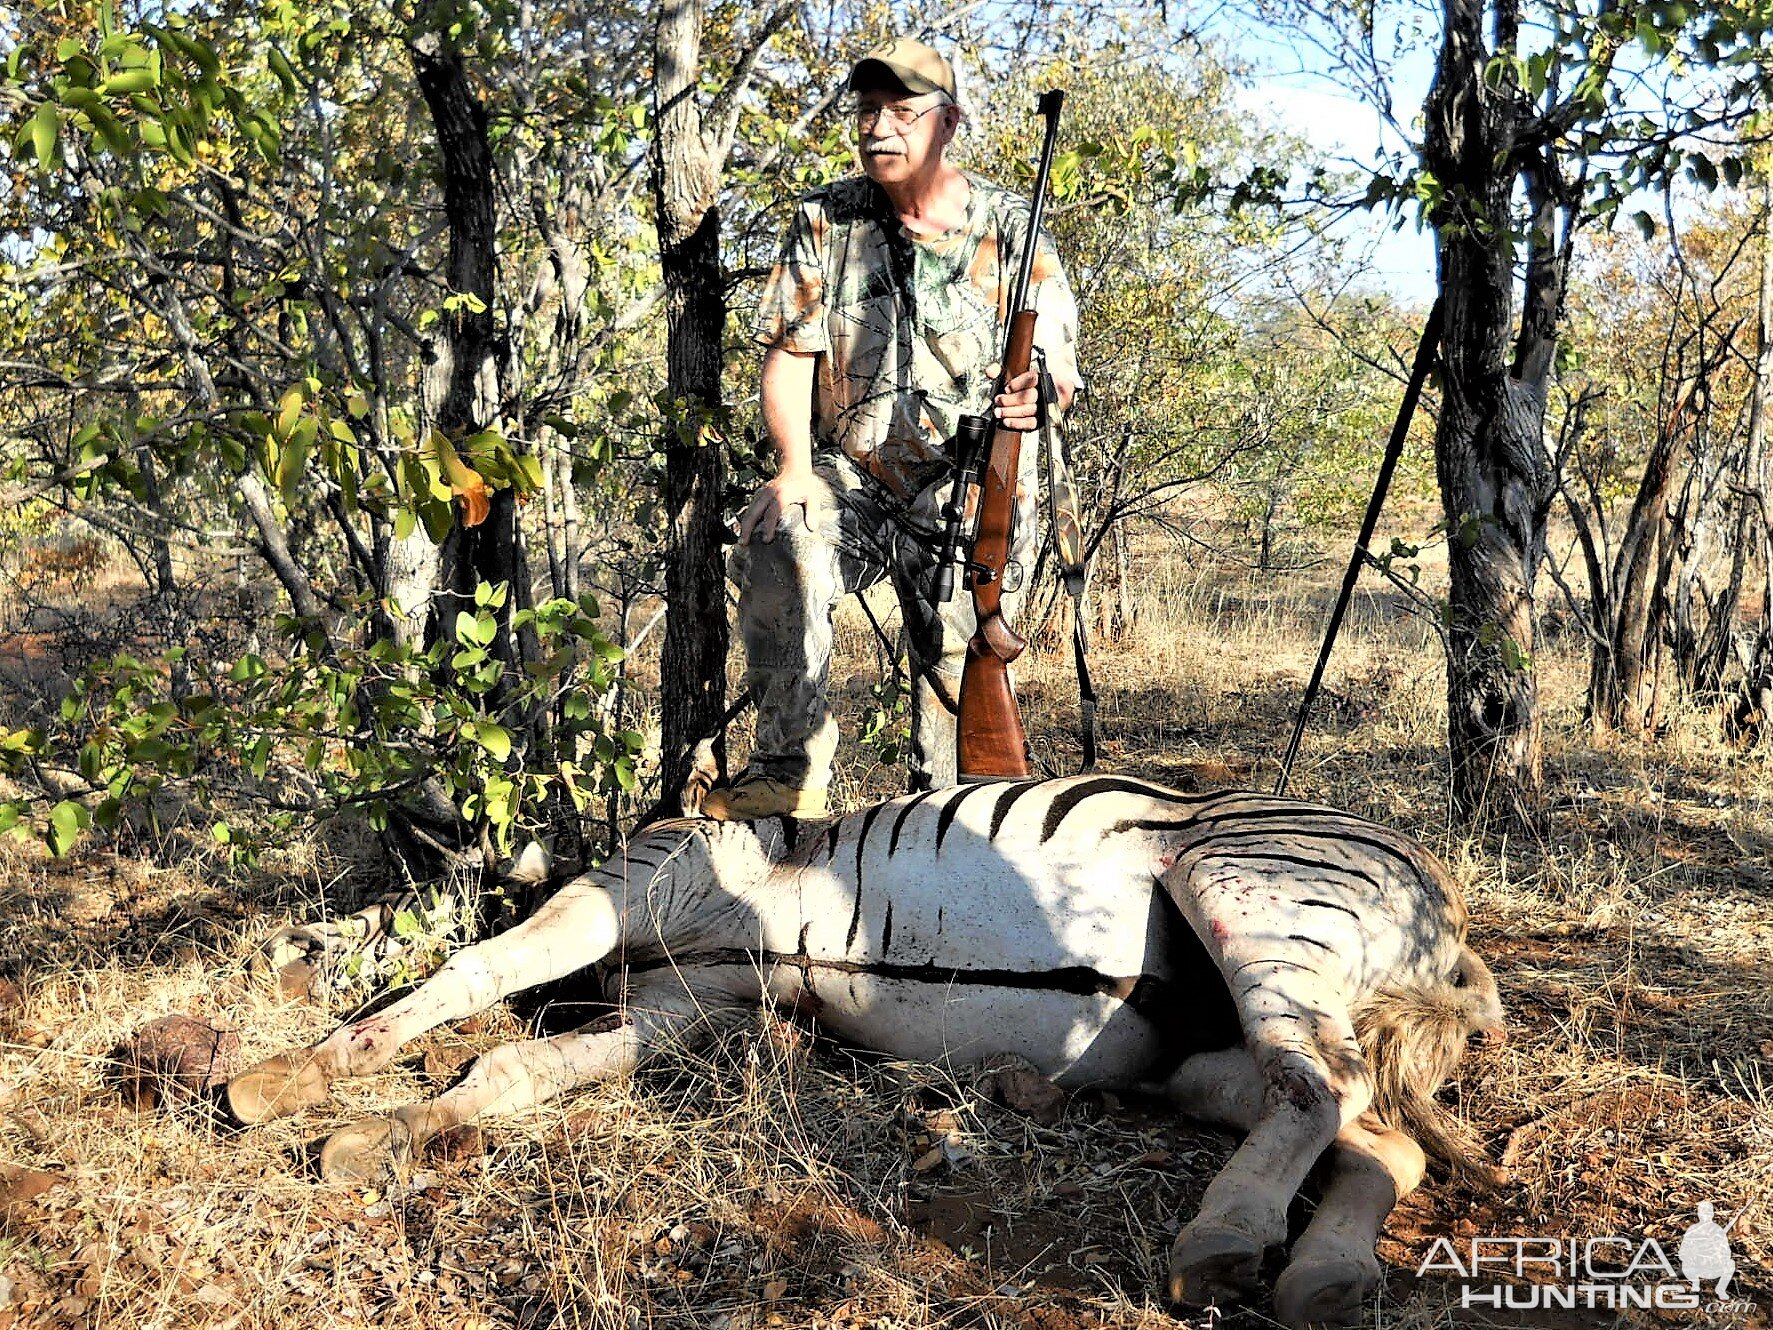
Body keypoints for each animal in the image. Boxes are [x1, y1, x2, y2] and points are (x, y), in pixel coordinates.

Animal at [221, 776, 1503, 1326]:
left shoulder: (635, 888)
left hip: (1249, 894)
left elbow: (476, 971)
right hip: (1204, 1058)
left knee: (1323, 1084)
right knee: (1382, 1141)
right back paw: (1323, 1274)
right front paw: (384, 1130)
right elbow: (513, 1068)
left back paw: (1224, 1238)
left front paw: (291, 1078)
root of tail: (1446, 920)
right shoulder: (698, 1001)